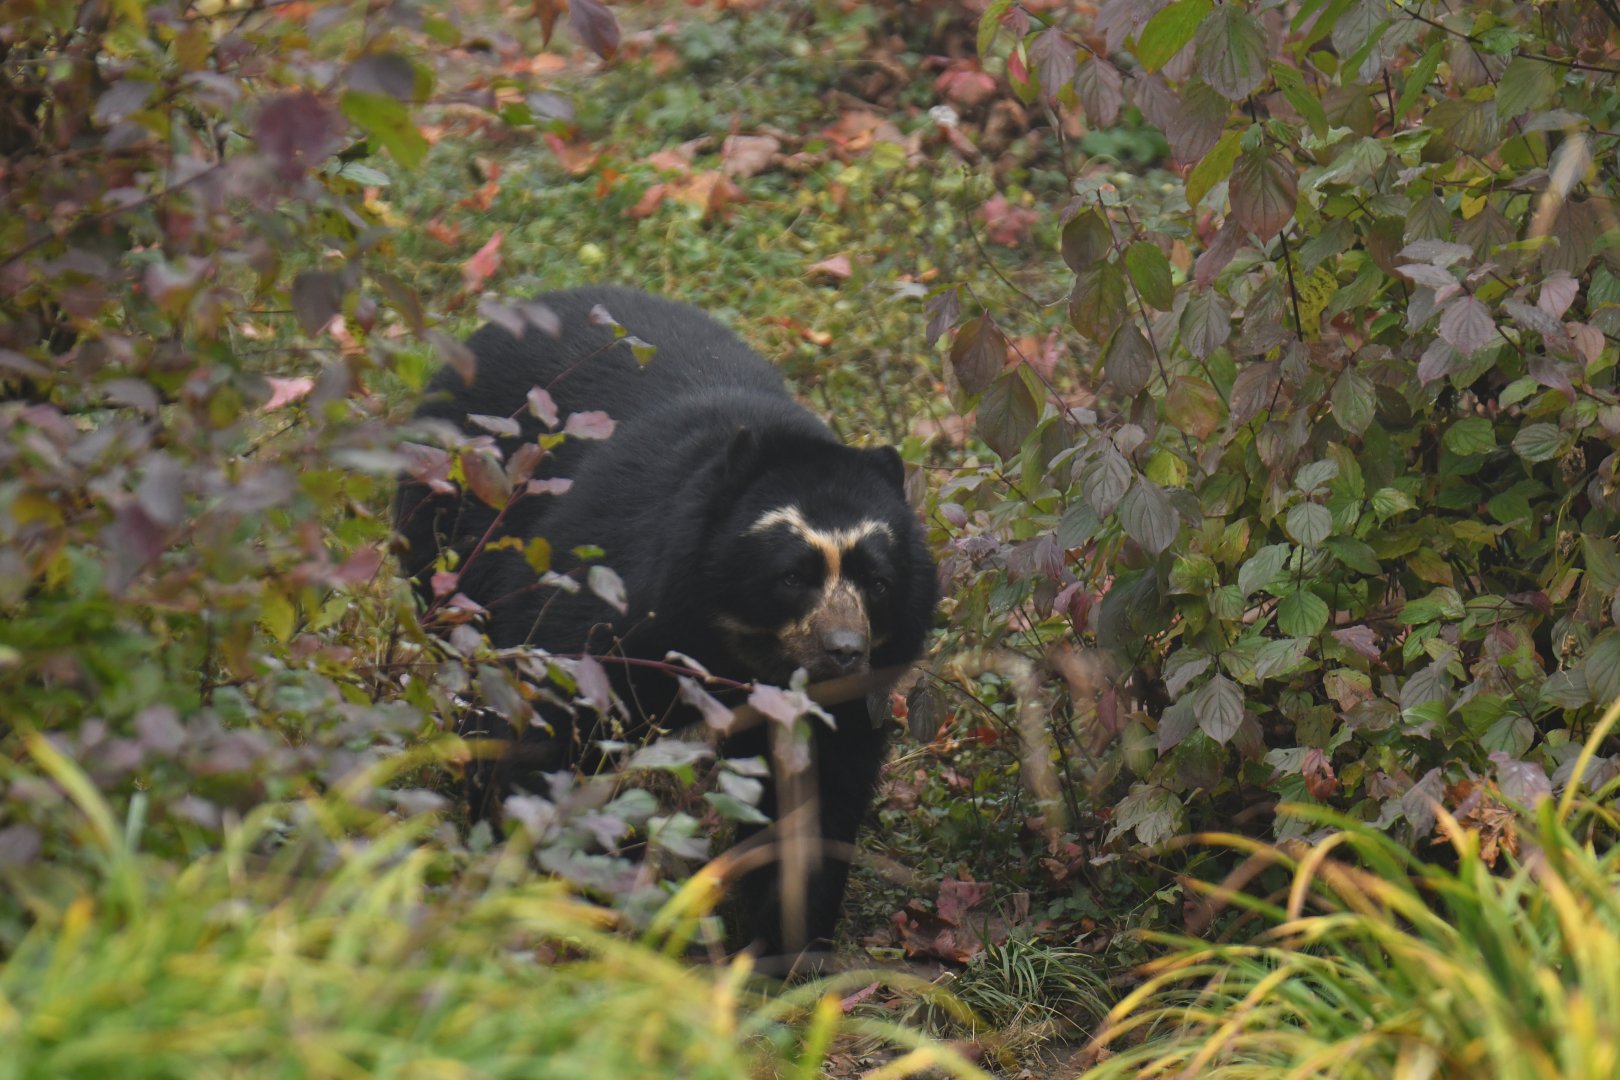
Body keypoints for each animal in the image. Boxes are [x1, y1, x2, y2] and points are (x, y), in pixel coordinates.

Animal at [393, 286, 937, 959]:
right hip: (448, 519)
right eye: (792, 577)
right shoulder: (608, 597)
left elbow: (818, 788)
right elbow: (547, 721)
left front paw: (790, 943)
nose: (844, 651)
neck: (735, 643)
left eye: (878, 584)